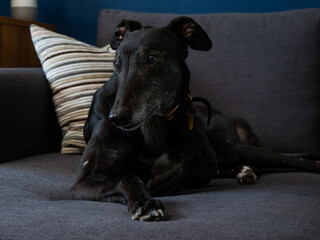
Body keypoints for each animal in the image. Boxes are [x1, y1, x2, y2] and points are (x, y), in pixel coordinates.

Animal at [70, 16, 320, 221]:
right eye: (116, 64)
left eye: (152, 58)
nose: (117, 118)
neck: (155, 121)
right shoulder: (84, 182)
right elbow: (128, 177)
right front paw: (146, 203)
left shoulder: (204, 157)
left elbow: (193, 167)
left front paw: (159, 184)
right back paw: (243, 171)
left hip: (233, 148)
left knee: (292, 160)